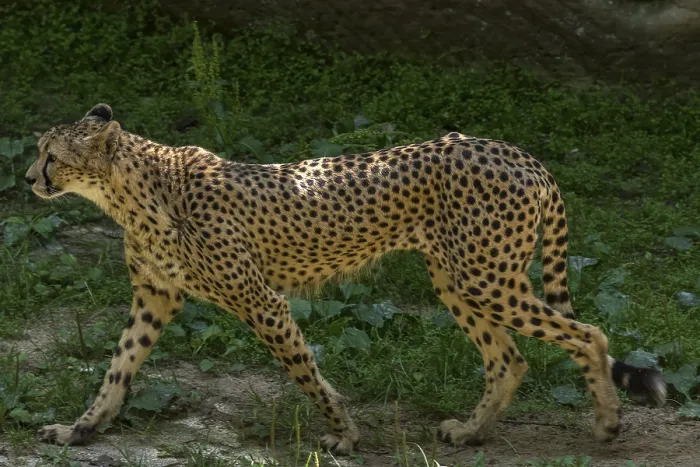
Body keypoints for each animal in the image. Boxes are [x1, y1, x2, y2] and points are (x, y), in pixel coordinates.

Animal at [25, 103, 666, 454]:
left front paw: (345, 435)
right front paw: (81, 429)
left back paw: (608, 423)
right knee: (509, 358)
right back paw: (470, 432)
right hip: (456, 278)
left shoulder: (263, 301)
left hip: (488, 277)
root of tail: (514, 151)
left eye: (52, 155)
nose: (29, 177)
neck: (133, 192)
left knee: (588, 334)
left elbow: (305, 373)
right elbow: (118, 369)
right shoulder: (155, 297)